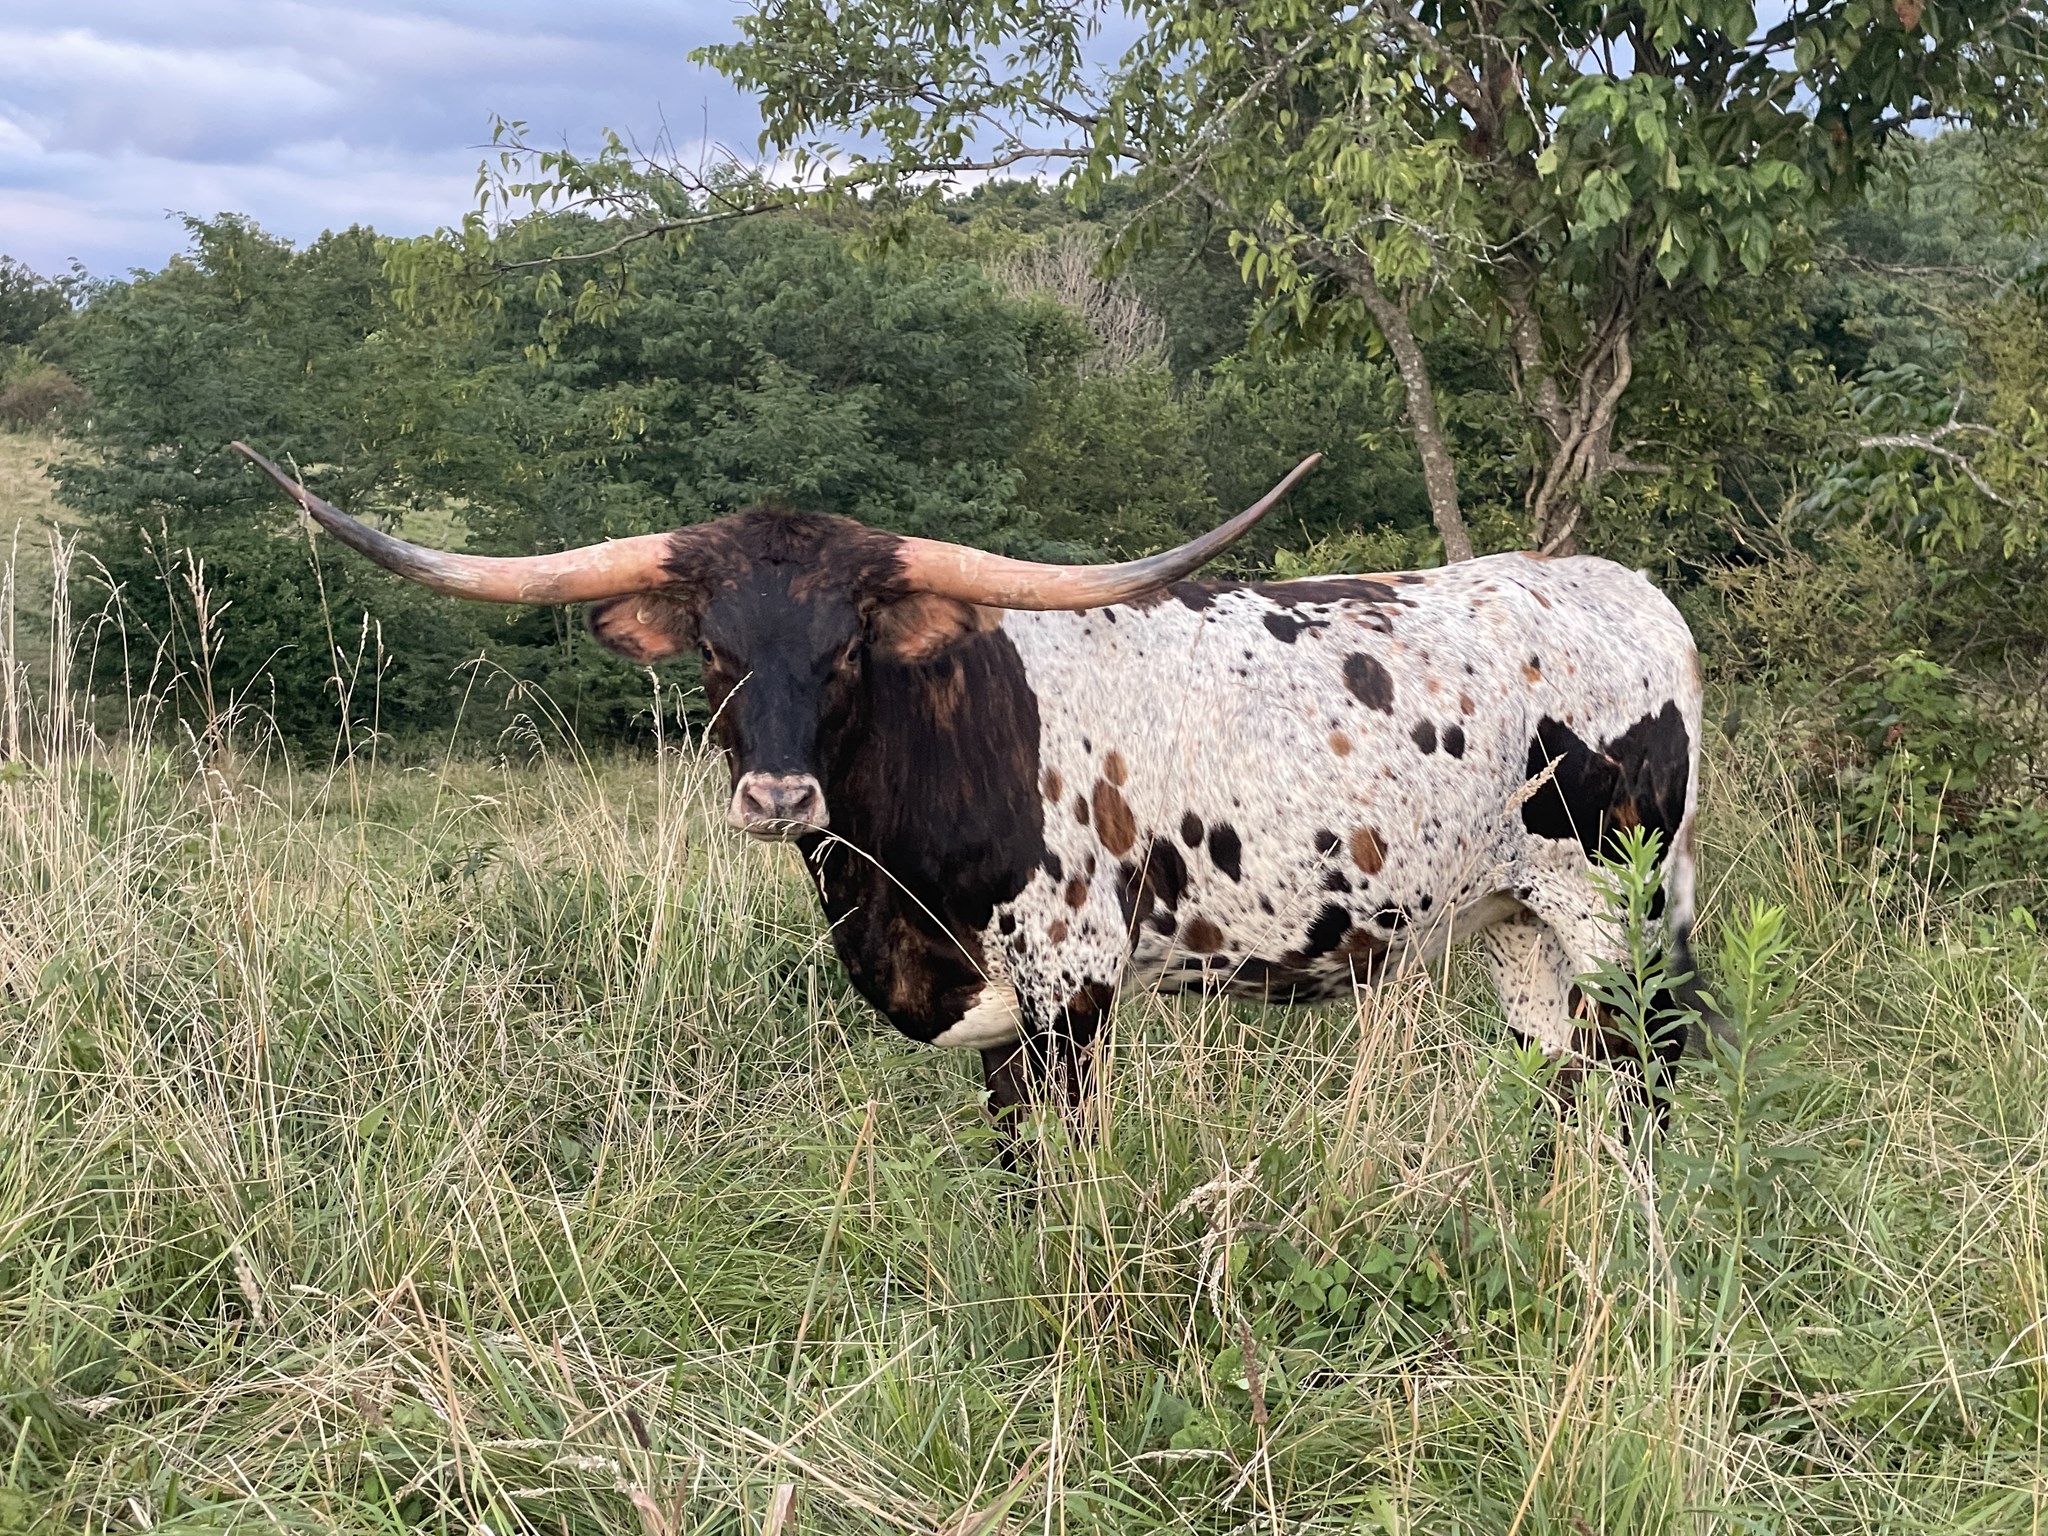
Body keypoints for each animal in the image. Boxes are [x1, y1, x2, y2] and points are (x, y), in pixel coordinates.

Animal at [235, 442, 1710, 1147]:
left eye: (845, 650)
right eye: (713, 648)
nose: (777, 796)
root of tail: (1624, 592)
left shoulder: (1072, 986)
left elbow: (1059, 1172)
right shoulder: (992, 1004)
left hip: (1618, 907)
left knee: (1650, 1068)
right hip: (1515, 924)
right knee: (1564, 1073)